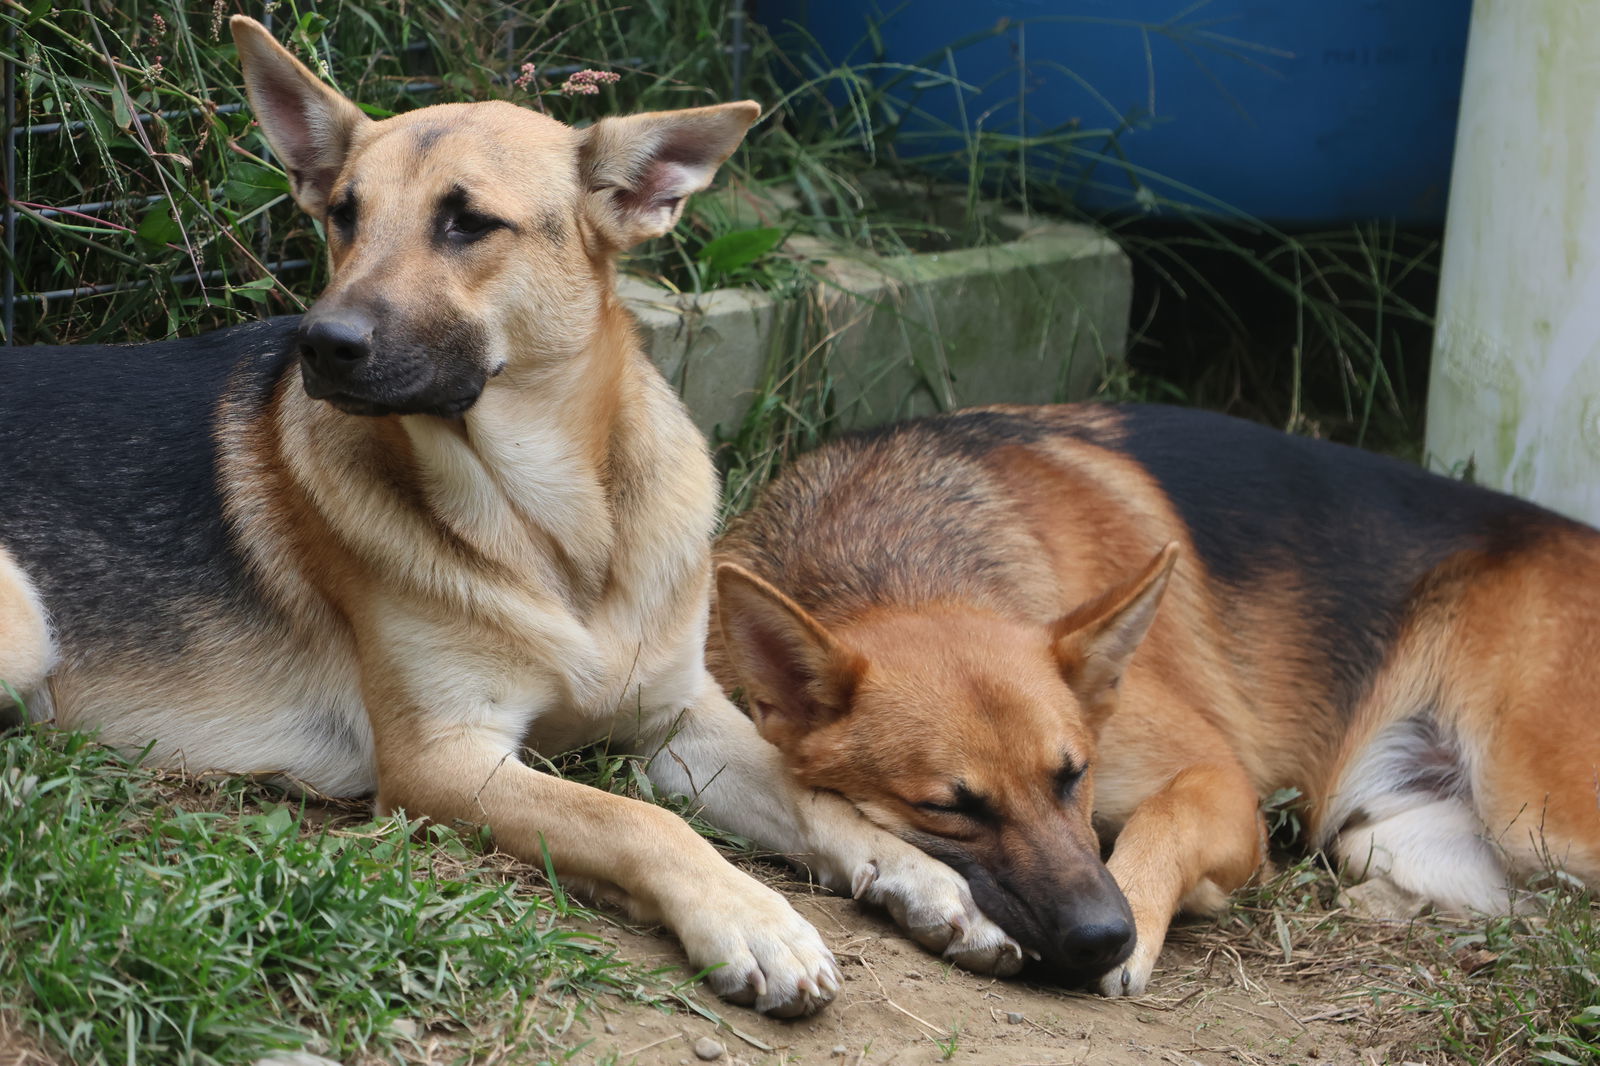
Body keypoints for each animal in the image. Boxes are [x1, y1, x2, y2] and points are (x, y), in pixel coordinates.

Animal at [0, 16, 1024, 1011]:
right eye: (345, 214)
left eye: (468, 223)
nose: (321, 344)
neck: (553, 532)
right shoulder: (445, 759)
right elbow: (632, 817)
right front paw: (750, 918)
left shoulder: (685, 716)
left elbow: (811, 794)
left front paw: (923, 876)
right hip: (25, 625)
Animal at [713, 403, 1600, 992]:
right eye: (949, 808)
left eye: (1074, 776)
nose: (1103, 938)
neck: (898, 555)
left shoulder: (1219, 782)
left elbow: (1161, 821)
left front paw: (1145, 919)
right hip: (1397, 837)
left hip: (1538, 815)